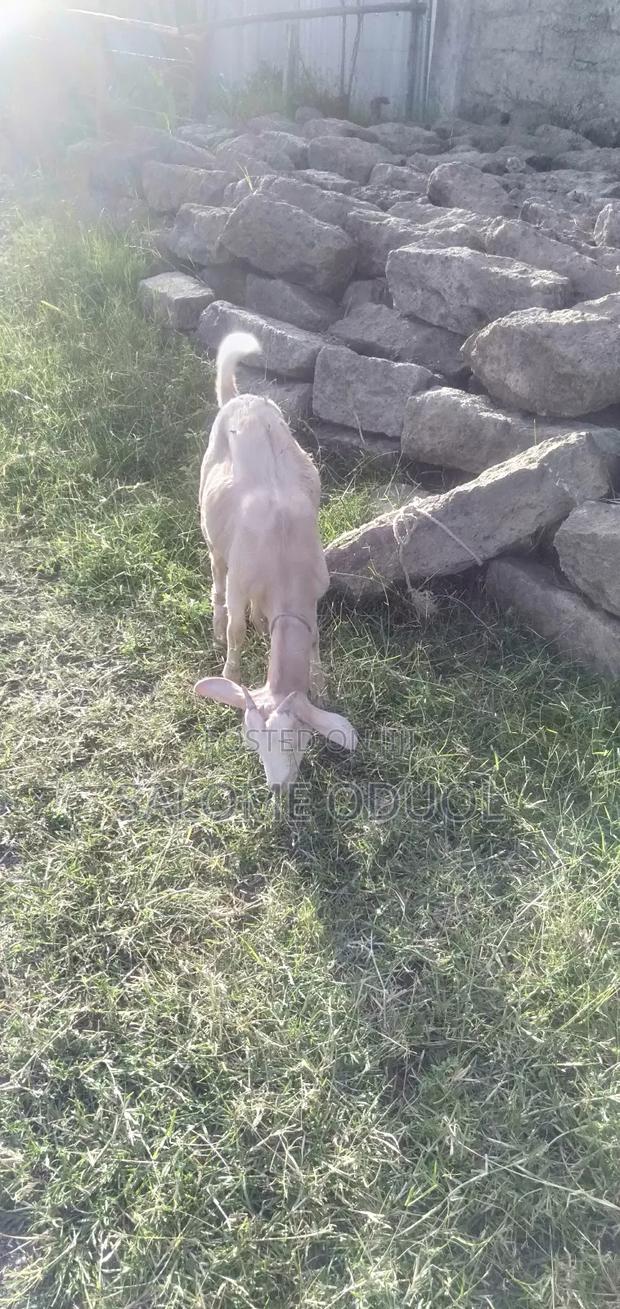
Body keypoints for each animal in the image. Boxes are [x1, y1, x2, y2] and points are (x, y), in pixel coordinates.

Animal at [194, 332, 358, 789]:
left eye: (295, 737)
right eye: (252, 741)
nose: (277, 787)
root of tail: (242, 398)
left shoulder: (315, 591)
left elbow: (315, 637)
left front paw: (320, 684)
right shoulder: (241, 582)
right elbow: (237, 632)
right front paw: (230, 675)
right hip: (213, 532)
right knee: (217, 578)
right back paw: (218, 627)